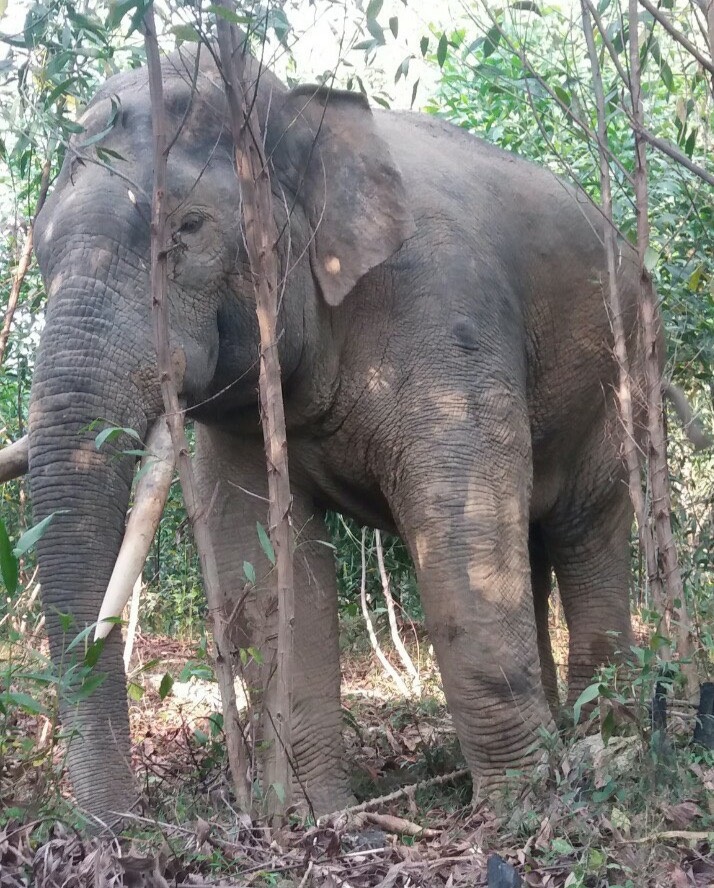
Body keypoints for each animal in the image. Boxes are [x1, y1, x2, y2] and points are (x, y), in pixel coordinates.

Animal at [16, 38, 644, 824]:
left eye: (189, 229)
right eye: (37, 250)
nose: (122, 826)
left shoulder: (446, 313)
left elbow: (457, 523)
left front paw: (517, 812)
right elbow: (264, 560)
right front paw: (314, 816)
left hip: (620, 374)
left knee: (586, 529)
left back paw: (605, 745)